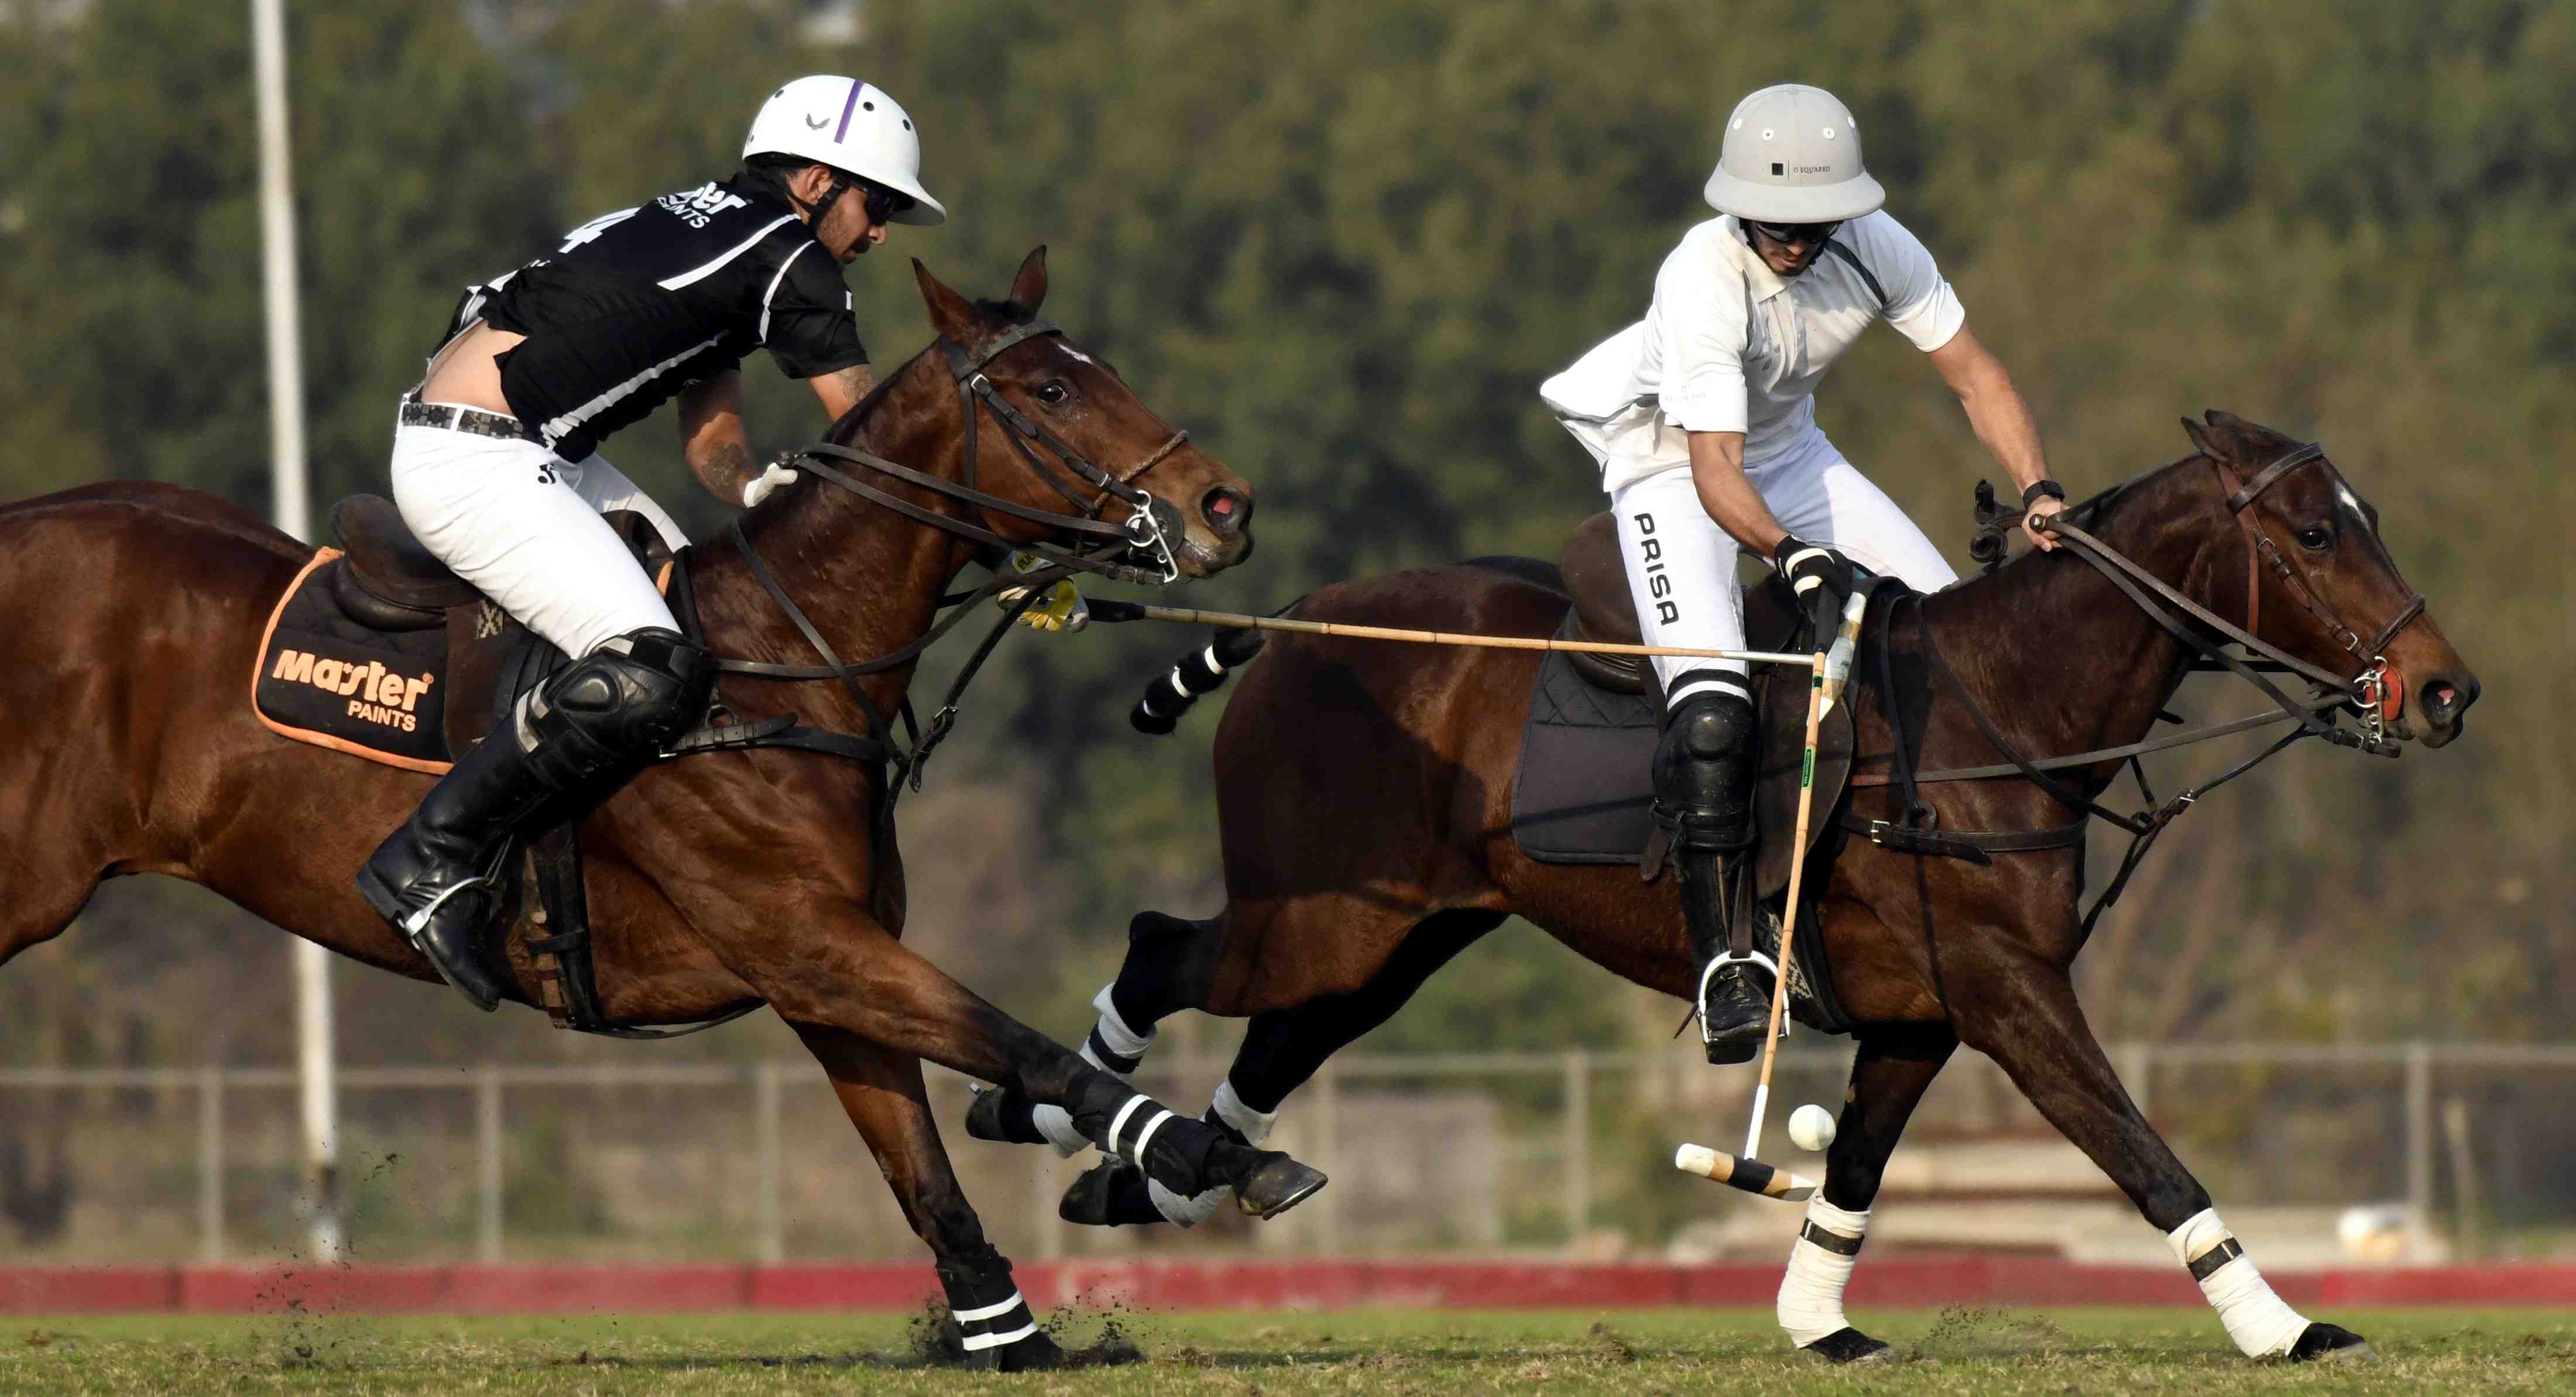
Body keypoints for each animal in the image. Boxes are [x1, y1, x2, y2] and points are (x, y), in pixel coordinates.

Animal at [0, 248, 1329, 1371]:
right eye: (1052, 386)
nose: (1226, 505)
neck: (779, 661)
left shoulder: (826, 966)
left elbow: (918, 1160)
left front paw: (1008, 1328)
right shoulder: (804, 936)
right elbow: (1022, 1043)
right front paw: (1217, 1154)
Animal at [968, 412, 2472, 1371]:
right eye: (2310, 532)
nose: (2442, 690)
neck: (2001, 713)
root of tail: (1285, 632)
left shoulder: (1920, 1011)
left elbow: (1852, 1165)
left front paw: (1818, 1321)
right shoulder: (2007, 992)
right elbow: (2142, 1152)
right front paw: (2283, 1326)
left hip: (1398, 934)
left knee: (1275, 1040)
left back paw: (1165, 1178)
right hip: (1318, 915)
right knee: (1160, 947)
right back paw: (1042, 1113)